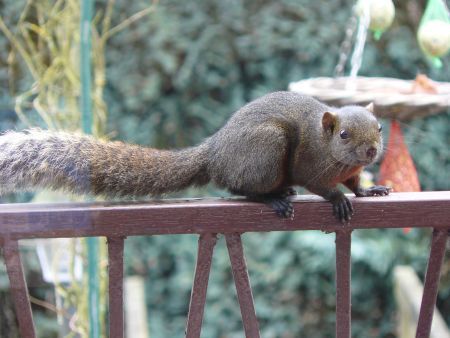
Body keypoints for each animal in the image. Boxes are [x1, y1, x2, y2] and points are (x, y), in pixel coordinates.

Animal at [0, 91, 388, 222]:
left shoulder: (351, 170)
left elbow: (356, 182)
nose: (371, 150)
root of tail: (215, 152)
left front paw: (368, 191)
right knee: (239, 189)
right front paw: (338, 199)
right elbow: (320, 185)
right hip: (267, 148)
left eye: (380, 127)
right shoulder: (311, 165)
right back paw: (273, 198)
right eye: (343, 135)